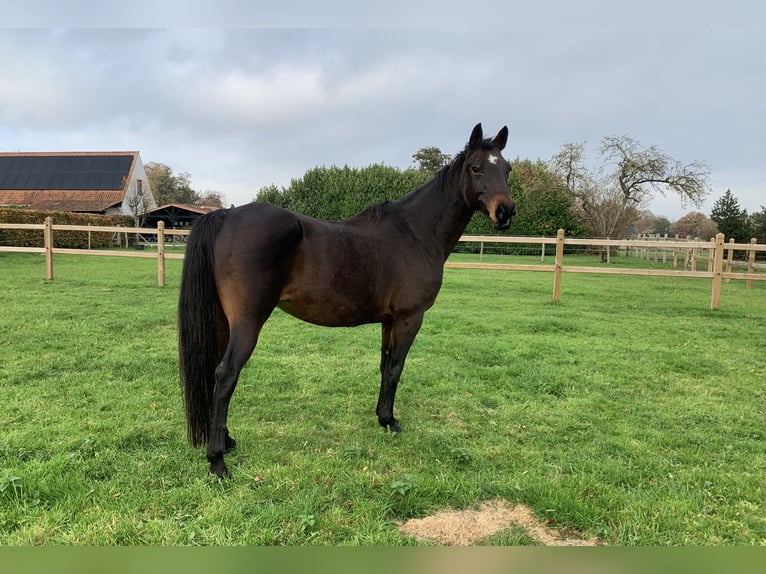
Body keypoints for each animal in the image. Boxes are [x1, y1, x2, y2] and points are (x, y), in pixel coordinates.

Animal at [178, 123, 516, 477]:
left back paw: (227, 441)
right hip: (248, 322)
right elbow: (396, 368)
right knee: (226, 374)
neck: (415, 233)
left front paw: (382, 417)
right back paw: (218, 460)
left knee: (215, 374)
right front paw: (391, 422)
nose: (506, 211)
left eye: (507, 169)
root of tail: (225, 217)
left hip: (222, 320)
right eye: (476, 167)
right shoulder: (409, 318)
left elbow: (385, 366)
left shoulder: (388, 321)